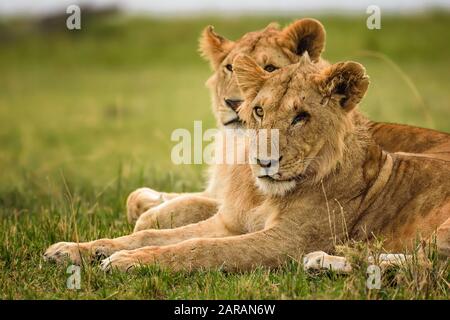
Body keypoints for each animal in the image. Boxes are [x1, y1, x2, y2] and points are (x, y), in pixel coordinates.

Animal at [43, 53, 450, 272]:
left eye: (300, 117)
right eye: (259, 111)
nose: (263, 161)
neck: (264, 195)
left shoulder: (283, 243)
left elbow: (199, 249)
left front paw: (128, 262)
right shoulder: (229, 223)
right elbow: (151, 234)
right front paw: (78, 250)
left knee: (426, 266)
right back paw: (323, 262)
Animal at [125, 18, 448, 232]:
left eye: (270, 67)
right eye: (230, 68)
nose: (234, 103)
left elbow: (191, 206)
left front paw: (149, 219)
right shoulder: (219, 191)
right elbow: (141, 197)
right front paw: (148, 202)